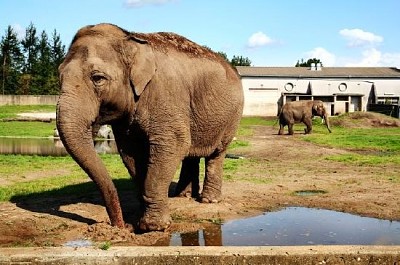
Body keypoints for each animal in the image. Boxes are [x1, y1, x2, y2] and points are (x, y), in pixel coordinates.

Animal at [55, 24, 244, 231]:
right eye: (59, 77)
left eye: (97, 78)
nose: (121, 226)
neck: (130, 38)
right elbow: (131, 153)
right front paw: (140, 219)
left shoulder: (166, 96)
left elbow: (173, 144)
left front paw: (152, 226)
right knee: (190, 154)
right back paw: (182, 196)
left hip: (232, 116)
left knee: (216, 154)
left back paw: (208, 200)